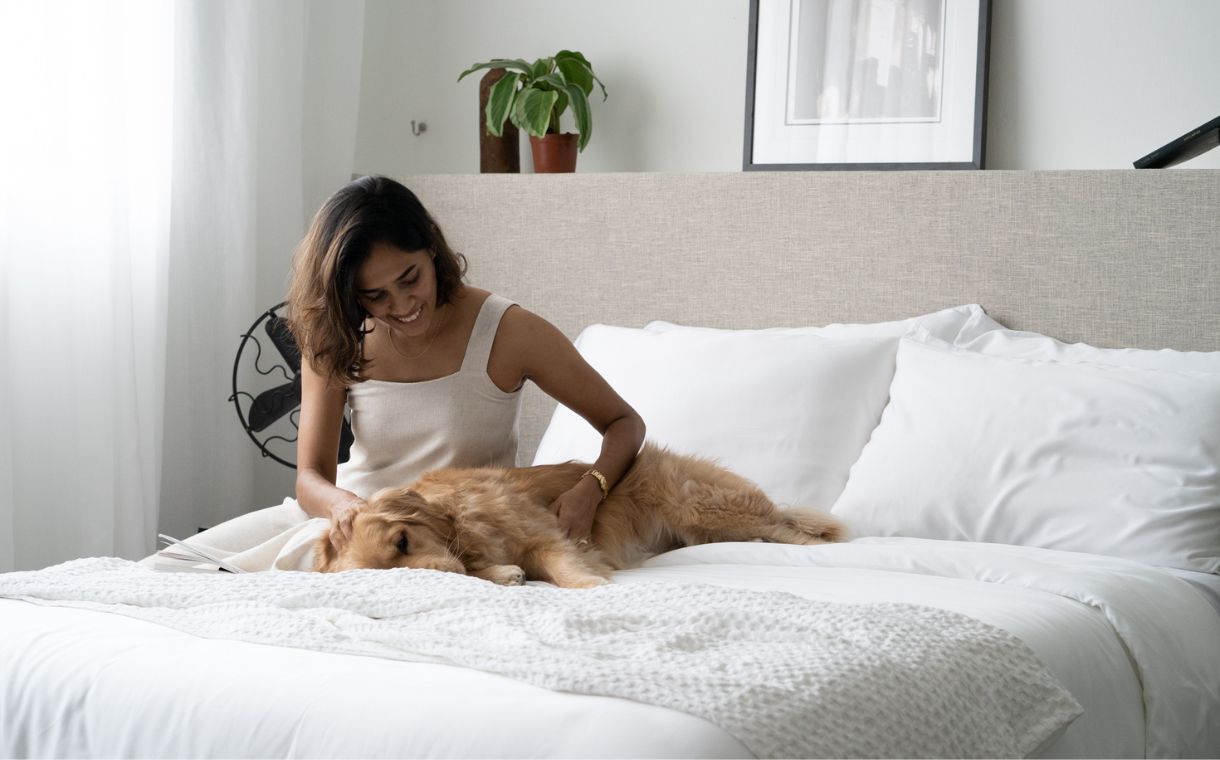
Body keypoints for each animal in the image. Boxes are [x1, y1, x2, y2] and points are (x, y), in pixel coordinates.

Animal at [317, 444, 839, 592]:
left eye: (403, 542)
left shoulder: (547, 536)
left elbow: (563, 569)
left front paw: (591, 585)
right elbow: (484, 567)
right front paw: (501, 573)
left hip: (703, 507)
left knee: (787, 528)